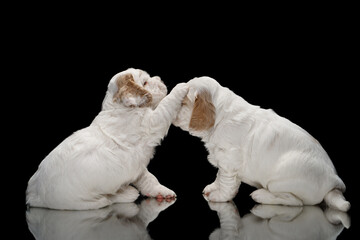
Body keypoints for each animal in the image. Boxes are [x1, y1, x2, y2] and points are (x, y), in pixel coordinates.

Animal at [173, 77, 350, 212]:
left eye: (182, 102)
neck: (220, 116)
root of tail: (334, 183)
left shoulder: (229, 160)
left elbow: (226, 182)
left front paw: (219, 196)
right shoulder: (222, 160)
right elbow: (219, 177)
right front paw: (212, 188)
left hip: (279, 181)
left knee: (295, 202)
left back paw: (260, 195)